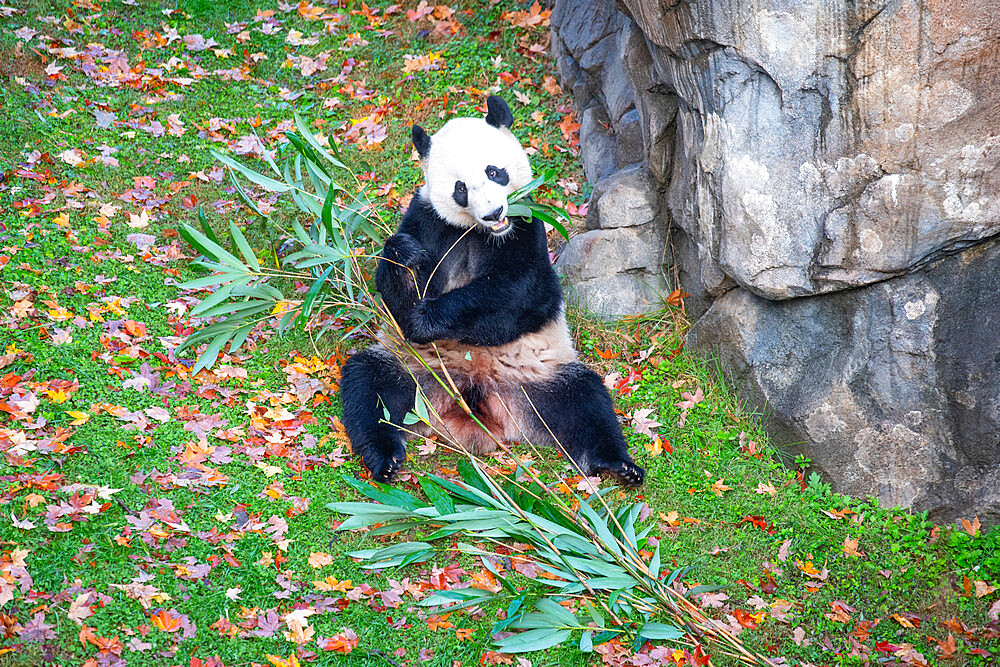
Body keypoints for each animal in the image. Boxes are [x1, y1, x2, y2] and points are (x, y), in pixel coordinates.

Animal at [340, 96, 644, 488]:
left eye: (494, 172)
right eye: (460, 188)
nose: (494, 212)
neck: (480, 232)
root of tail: (475, 402)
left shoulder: (527, 225)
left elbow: (522, 294)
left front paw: (428, 317)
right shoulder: (427, 220)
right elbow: (395, 296)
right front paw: (403, 256)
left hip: (539, 378)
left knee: (586, 404)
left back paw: (618, 465)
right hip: (412, 369)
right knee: (369, 388)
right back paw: (385, 459)